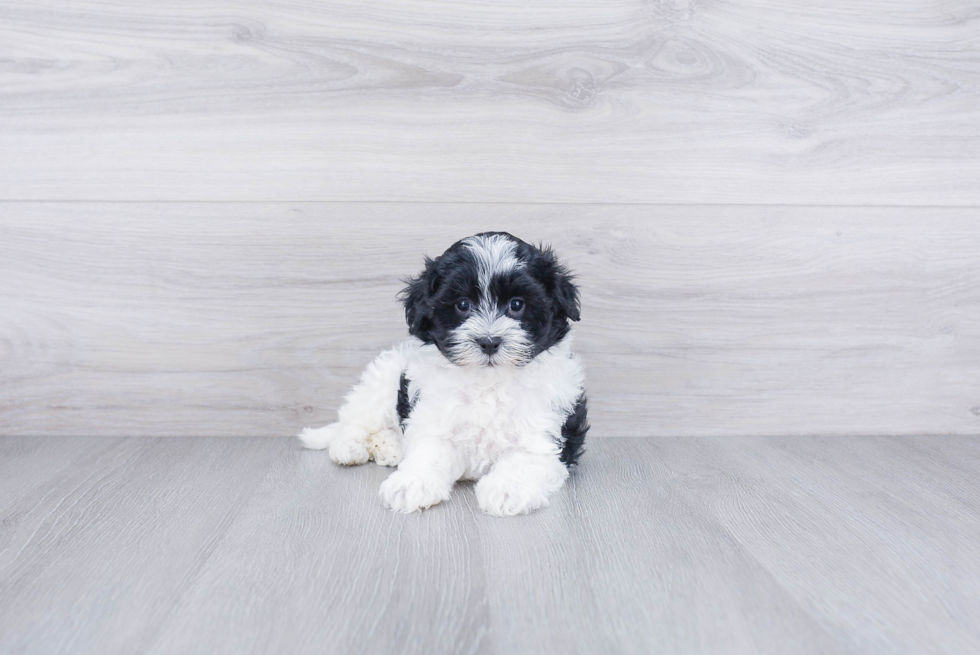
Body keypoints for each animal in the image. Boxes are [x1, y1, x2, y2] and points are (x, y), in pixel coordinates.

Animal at [296, 233, 588, 516]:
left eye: (517, 304)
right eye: (463, 305)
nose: (489, 342)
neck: (488, 382)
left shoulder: (545, 428)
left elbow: (525, 458)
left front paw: (507, 489)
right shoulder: (433, 417)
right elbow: (429, 451)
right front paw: (412, 483)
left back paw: (389, 447)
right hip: (383, 379)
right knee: (355, 419)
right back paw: (349, 447)